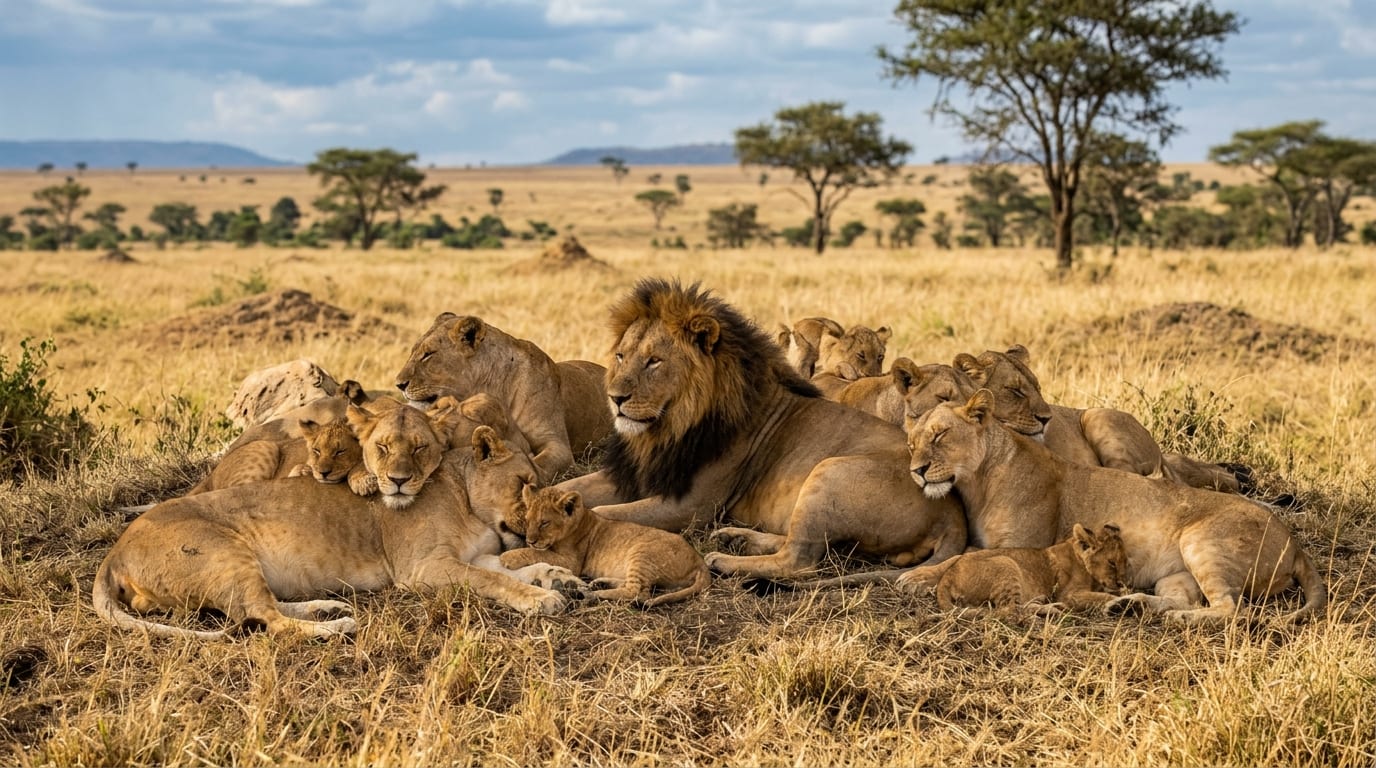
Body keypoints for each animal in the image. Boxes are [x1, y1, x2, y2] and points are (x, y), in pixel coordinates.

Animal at [92, 403, 570, 639]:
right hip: (223, 552)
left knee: (258, 608)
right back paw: (336, 626)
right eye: (525, 483)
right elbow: (497, 580)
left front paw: (559, 577)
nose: (532, 529)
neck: (469, 503)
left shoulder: (468, 557)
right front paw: (542, 598)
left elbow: (511, 567)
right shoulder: (423, 569)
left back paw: (328, 607)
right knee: (266, 620)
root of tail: (114, 554)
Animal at [395, 313, 613, 483]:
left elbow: (540, 464)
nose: (399, 384)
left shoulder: (557, 444)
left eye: (428, 354)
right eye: (413, 352)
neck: (492, 386)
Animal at [500, 487, 711, 607]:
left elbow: (538, 553)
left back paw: (590, 594)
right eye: (528, 520)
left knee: (637, 592)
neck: (579, 521)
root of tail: (699, 560)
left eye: (544, 523)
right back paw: (598, 584)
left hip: (642, 552)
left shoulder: (571, 562)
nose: (530, 540)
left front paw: (508, 557)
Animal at [553, 278, 966, 579]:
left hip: (829, 471)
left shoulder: (692, 505)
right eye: (621, 355)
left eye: (654, 361)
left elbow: (605, 513)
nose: (614, 397)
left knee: (799, 560)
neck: (665, 429)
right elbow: (564, 490)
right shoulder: (634, 476)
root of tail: (953, 511)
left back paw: (725, 560)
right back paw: (738, 539)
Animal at [926, 523, 1128, 614]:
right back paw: (1053, 610)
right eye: (1111, 562)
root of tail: (948, 575)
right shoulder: (1070, 594)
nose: (1121, 582)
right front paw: (1118, 602)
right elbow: (1101, 597)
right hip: (1006, 563)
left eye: (1125, 562)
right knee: (1008, 611)